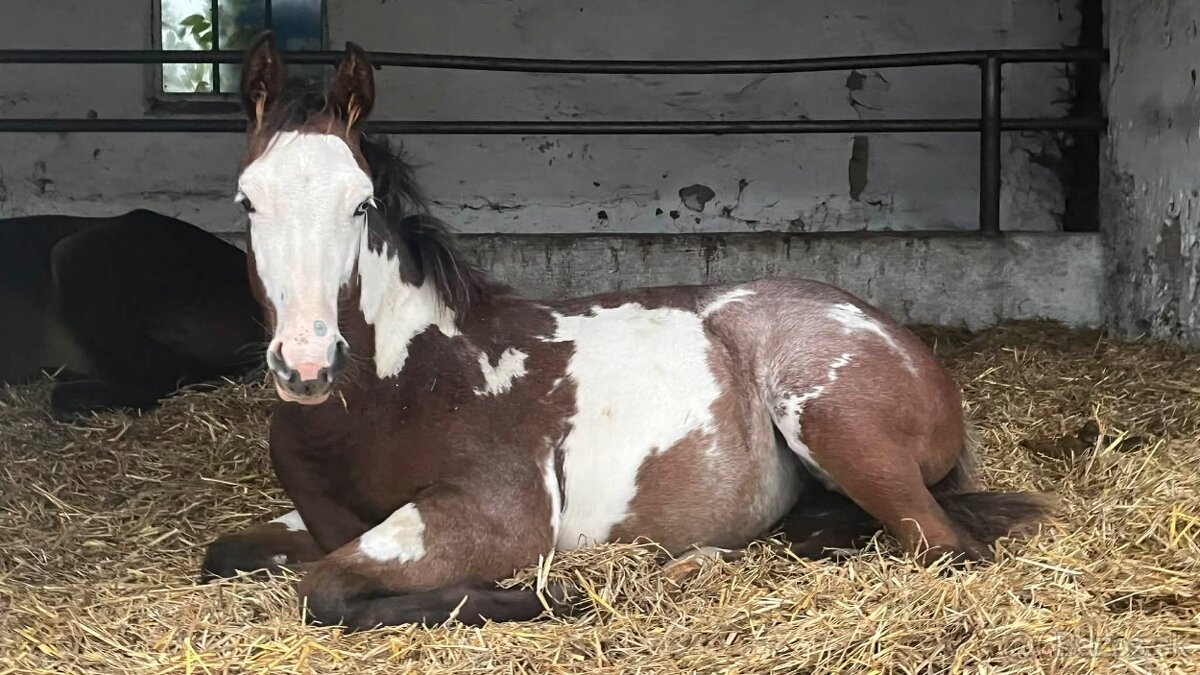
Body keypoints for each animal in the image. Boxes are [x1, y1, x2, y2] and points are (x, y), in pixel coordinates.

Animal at [200, 34, 1051, 631]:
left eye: (361, 202)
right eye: (246, 201)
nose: (307, 362)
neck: (402, 386)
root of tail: (898, 338)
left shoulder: (491, 513)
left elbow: (324, 589)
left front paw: (547, 595)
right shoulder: (326, 520)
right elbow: (227, 553)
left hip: (838, 421)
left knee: (946, 546)